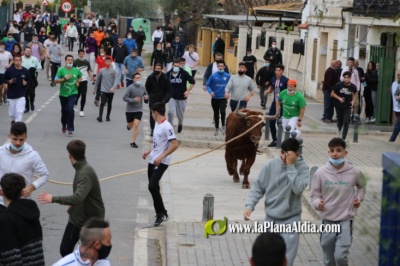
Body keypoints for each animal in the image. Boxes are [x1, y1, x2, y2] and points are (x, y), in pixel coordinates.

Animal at [43, 113, 276, 186]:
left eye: (262, 124)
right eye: (250, 123)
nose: (257, 137)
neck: (244, 139)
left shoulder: (251, 153)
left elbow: (247, 168)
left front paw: (245, 182)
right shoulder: (230, 150)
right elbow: (231, 163)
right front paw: (234, 175)